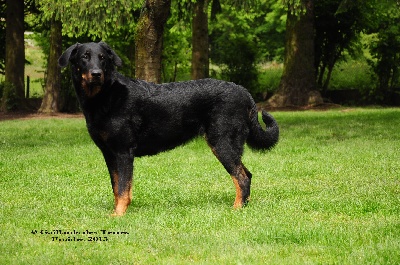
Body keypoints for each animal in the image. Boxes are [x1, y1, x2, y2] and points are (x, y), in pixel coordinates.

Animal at [59, 41, 280, 214]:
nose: (96, 74)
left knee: (241, 177)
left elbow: (122, 189)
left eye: (103, 58)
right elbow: (117, 187)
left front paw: (118, 216)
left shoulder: (123, 152)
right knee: (246, 175)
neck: (104, 97)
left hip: (223, 143)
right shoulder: (109, 153)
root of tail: (245, 92)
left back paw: (236, 208)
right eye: (85, 57)